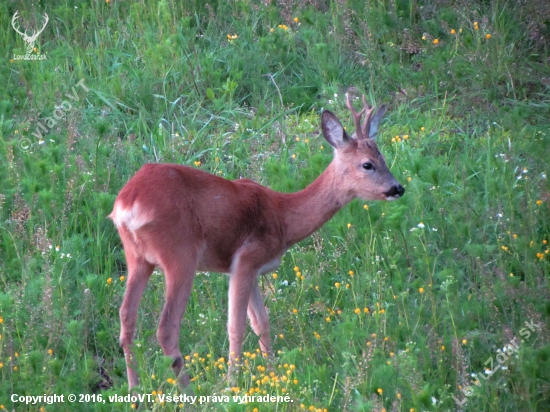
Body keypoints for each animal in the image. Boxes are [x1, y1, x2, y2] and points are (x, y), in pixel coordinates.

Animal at [111, 95, 406, 388]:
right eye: (367, 164)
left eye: (383, 157)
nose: (398, 188)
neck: (283, 217)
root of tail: (128, 203)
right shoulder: (246, 258)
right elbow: (236, 326)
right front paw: (233, 383)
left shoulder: (251, 269)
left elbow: (262, 322)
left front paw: (273, 372)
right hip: (180, 254)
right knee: (166, 328)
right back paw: (188, 390)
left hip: (137, 257)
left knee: (127, 318)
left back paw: (134, 389)